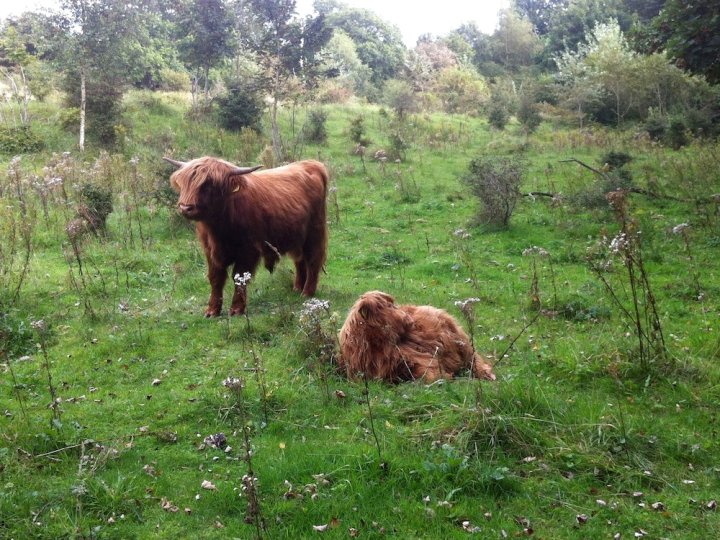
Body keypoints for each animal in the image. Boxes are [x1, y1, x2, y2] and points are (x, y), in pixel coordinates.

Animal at [165, 156, 328, 316]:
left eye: (208, 185)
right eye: (184, 182)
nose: (185, 207)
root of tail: (311, 164)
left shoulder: (248, 249)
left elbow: (239, 277)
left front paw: (237, 309)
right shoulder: (209, 251)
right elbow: (215, 277)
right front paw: (212, 310)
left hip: (314, 232)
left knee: (313, 259)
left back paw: (307, 292)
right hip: (296, 237)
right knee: (299, 260)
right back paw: (297, 288)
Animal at [338, 292, 496, 384]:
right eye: (390, 306)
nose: (406, 316)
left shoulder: (422, 359)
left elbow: (431, 374)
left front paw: (446, 377)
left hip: (459, 341)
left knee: (474, 359)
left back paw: (486, 374)